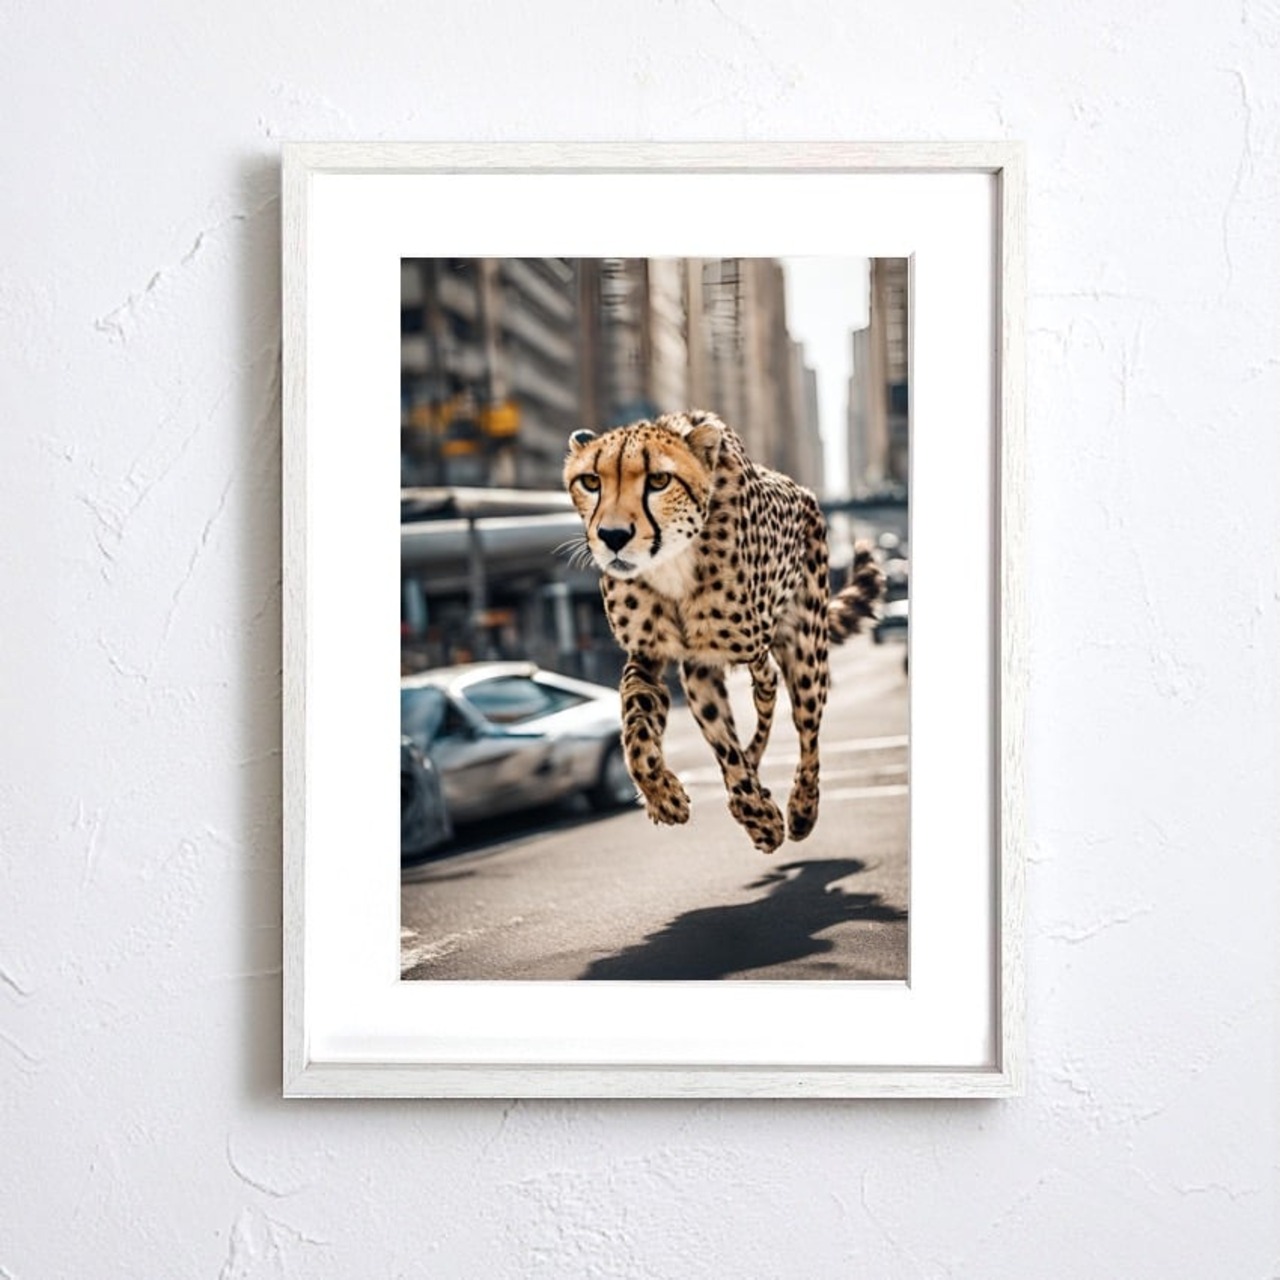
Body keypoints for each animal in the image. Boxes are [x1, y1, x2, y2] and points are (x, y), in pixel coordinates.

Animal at [563, 409, 884, 853]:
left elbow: (758, 721)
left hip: (804, 653)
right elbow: (639, 728)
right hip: (702, 675)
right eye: (591, 482)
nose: (613, 537)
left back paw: (802, 809)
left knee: (806, 730)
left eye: (658, 481)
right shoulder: (652, 657)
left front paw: (762, 815)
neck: (672, 565)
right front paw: (664, 795)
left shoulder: (754, 656)